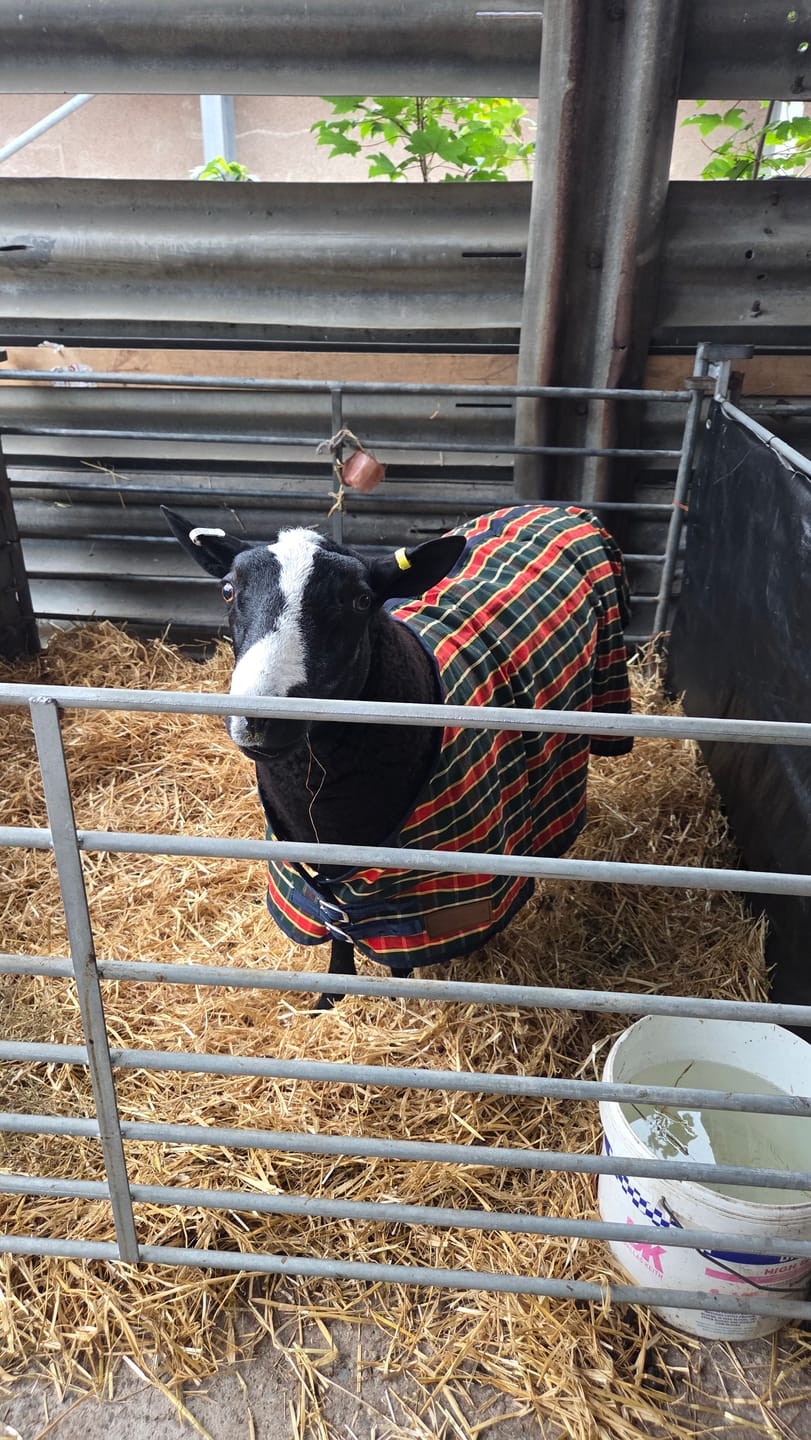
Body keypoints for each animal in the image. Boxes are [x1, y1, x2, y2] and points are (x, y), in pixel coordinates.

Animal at [164, 503, 632, 1005]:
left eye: (361, 600)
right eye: (228, 590)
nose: (260, 719)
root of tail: (559, 507)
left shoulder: (419, 891)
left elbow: (398, 954)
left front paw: (396, 1000)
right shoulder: (321, 879)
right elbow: (339, 931)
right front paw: (331, 1001)